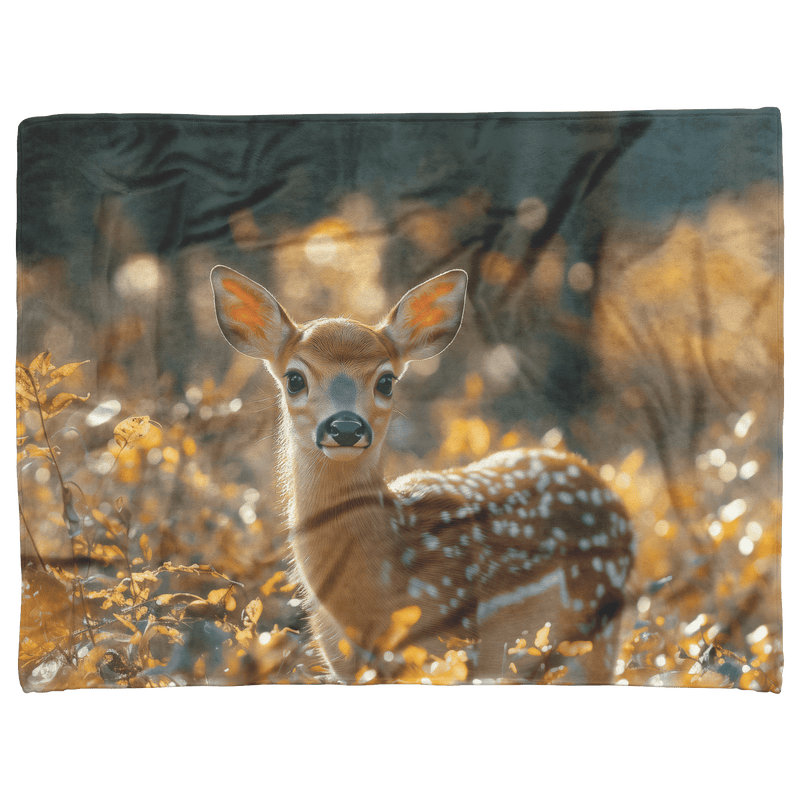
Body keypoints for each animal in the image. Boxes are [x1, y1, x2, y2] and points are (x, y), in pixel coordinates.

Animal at [211, 265, 633, 684]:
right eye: (295, 378)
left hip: (594, 631)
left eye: (386, 380)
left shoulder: (450, 641)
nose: (345, 427)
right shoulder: (342, 663)